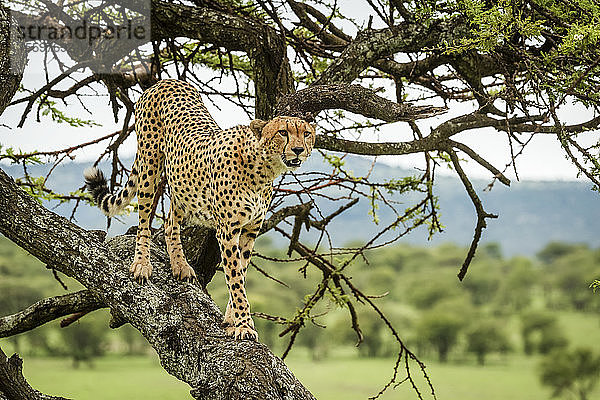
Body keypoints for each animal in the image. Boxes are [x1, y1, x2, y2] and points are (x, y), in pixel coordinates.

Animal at [86, 79, 316, 340]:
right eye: (283, 132)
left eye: (306, 134)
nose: (298, 150)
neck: (264, 168)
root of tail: (165, 81)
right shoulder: (228, 230)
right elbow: (235, 278)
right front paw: (244, 325)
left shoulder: (250, 230)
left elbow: (241, 273)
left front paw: (232, 320)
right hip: (150, 165)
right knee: (144, 220)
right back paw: (142, 264)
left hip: (182, 187)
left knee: (170, 223)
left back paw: (180, 265)